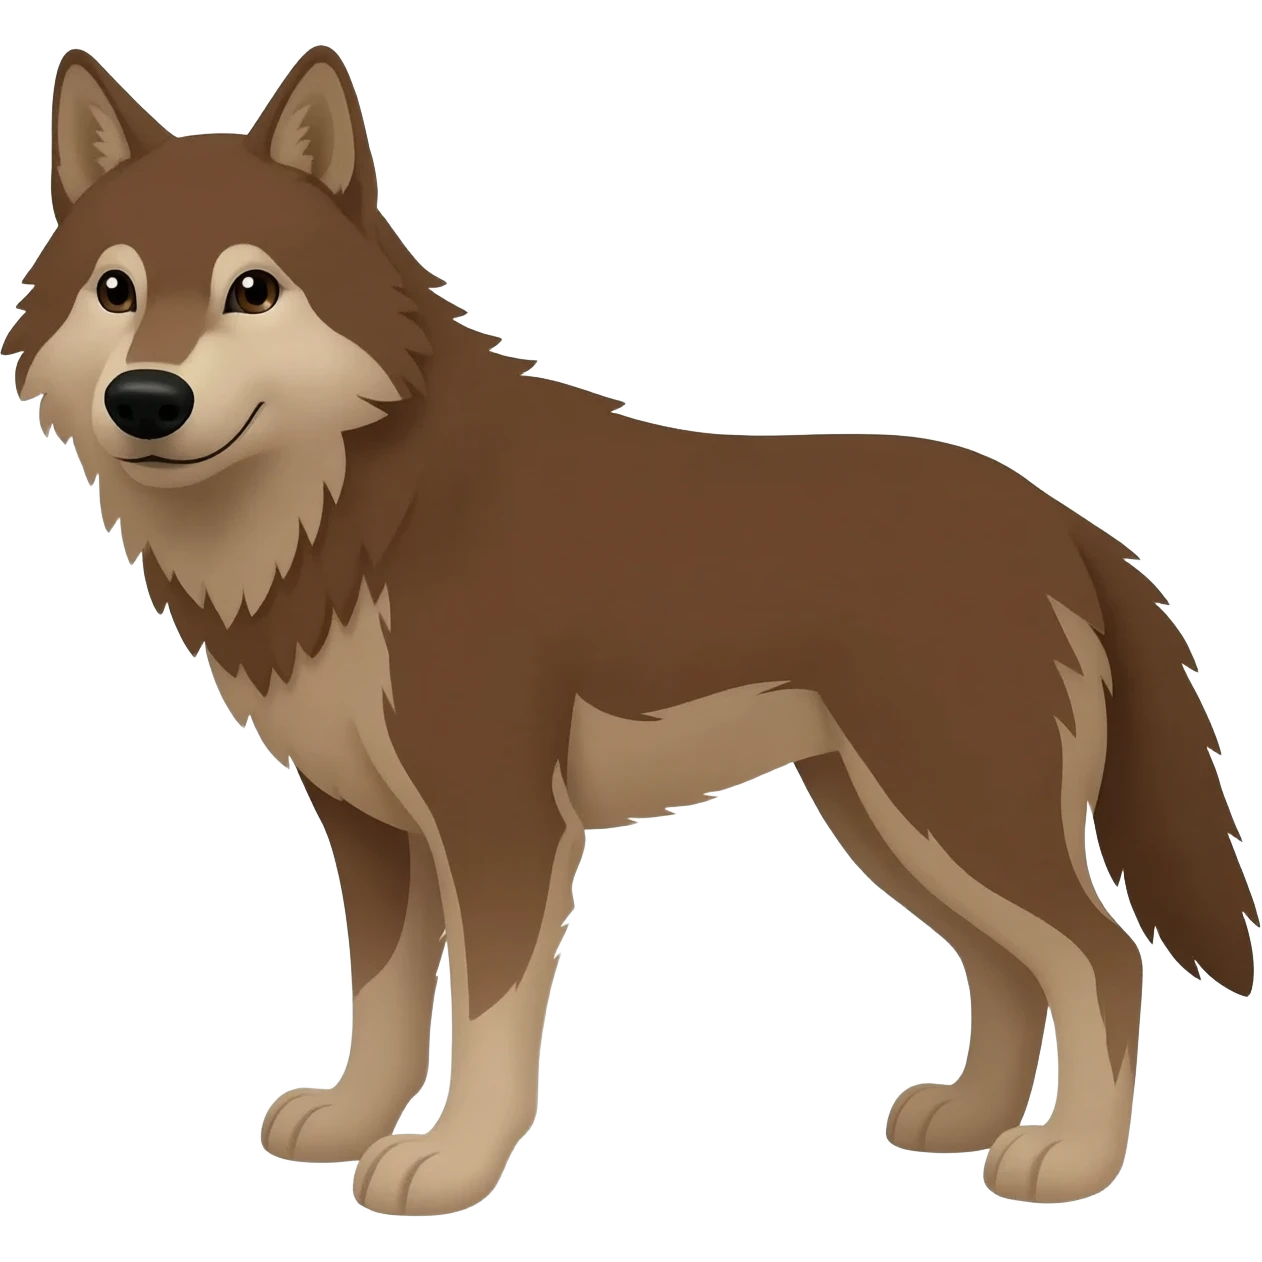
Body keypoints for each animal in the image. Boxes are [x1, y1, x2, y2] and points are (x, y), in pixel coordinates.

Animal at [6, 42, 1255, 1217]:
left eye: (253, 289)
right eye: (116, 289)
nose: (147, 401)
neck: (363, 509)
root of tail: (1063, 521)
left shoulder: (501, 824)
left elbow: (490, 1015)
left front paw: (451, 1162)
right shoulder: (369, 824)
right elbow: (384, 995)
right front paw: (356, 1119)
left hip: (950, 812)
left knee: (1099, 958)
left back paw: (1068, 1156)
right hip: (887, 819)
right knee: (1006, 967)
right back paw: (966, 1116)